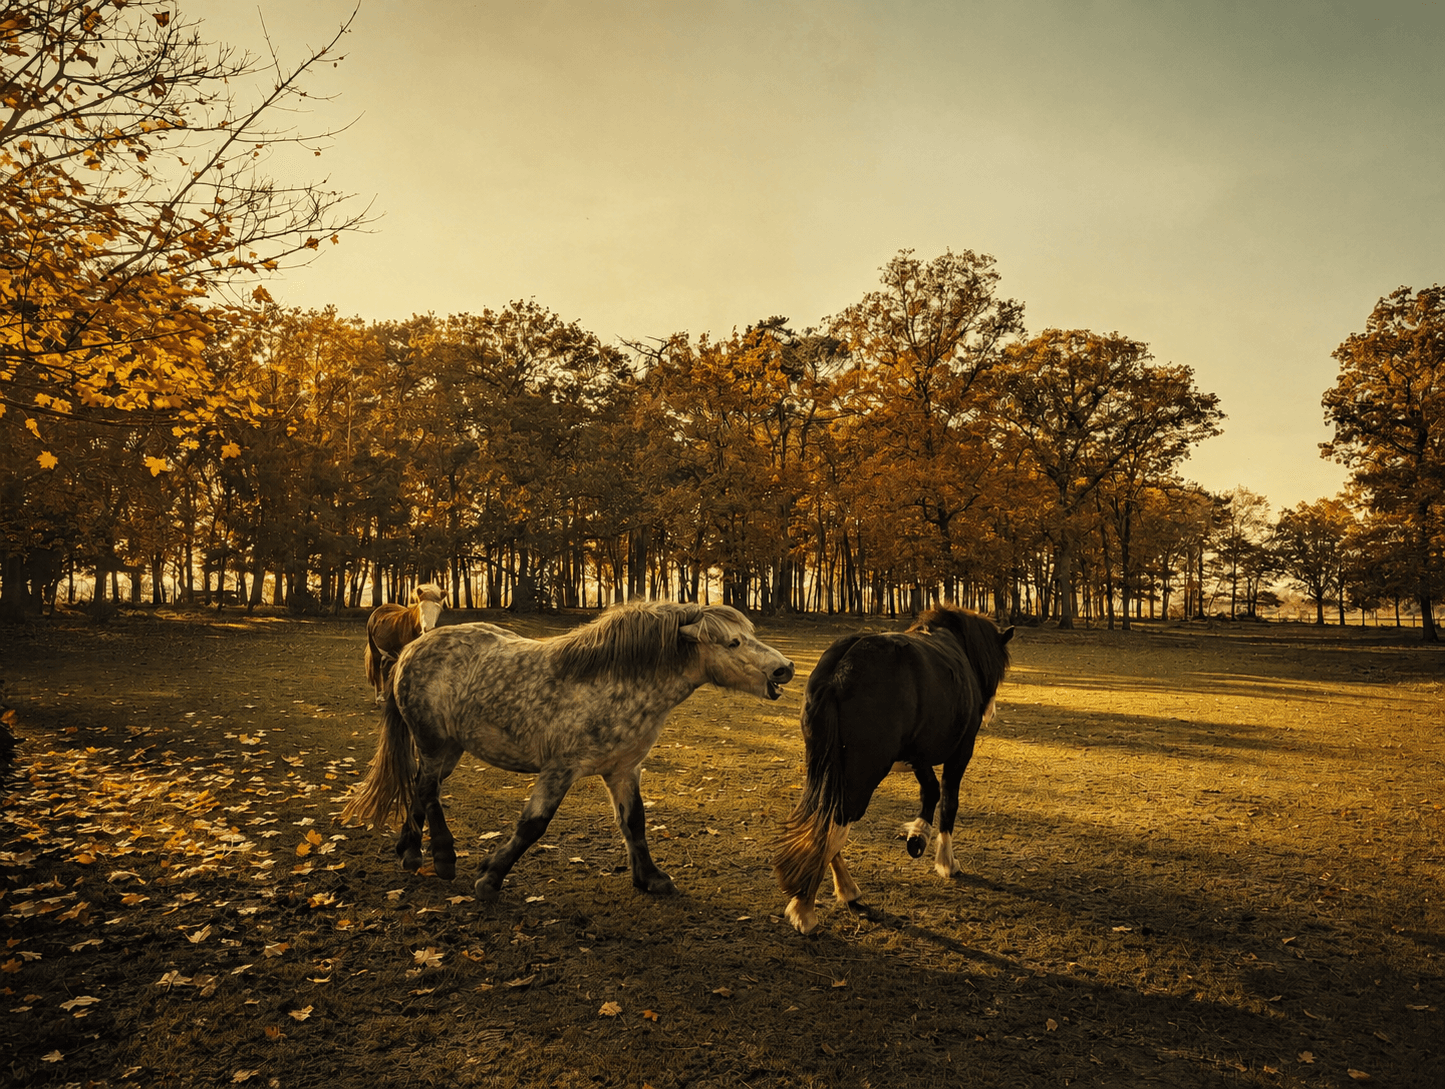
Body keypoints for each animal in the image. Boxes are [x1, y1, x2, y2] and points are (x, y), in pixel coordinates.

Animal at [341, 600, 795, 901]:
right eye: (733, 643)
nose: (785, 669)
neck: (612, 681)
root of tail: (410, 651)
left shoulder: (623, 769)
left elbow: (635, 823)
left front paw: (650, 878)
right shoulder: (560, 769)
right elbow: (533, 825)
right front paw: (490, 878)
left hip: (450, 749)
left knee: (420, 787)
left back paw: (410, 851)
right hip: (435, 743)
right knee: (429, 790)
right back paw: (442, 856)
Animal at [773, 604, 1013, 934]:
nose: (991, 712)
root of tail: (839, 671)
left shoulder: (918, 754)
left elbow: (930, 790)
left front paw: (918, 836)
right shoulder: (961, 751)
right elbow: (949, 801)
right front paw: (946, 861)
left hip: (828, 769)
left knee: (824, 819)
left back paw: (842, 891)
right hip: (860, 776)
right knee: (834, 825)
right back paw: (806, 908)